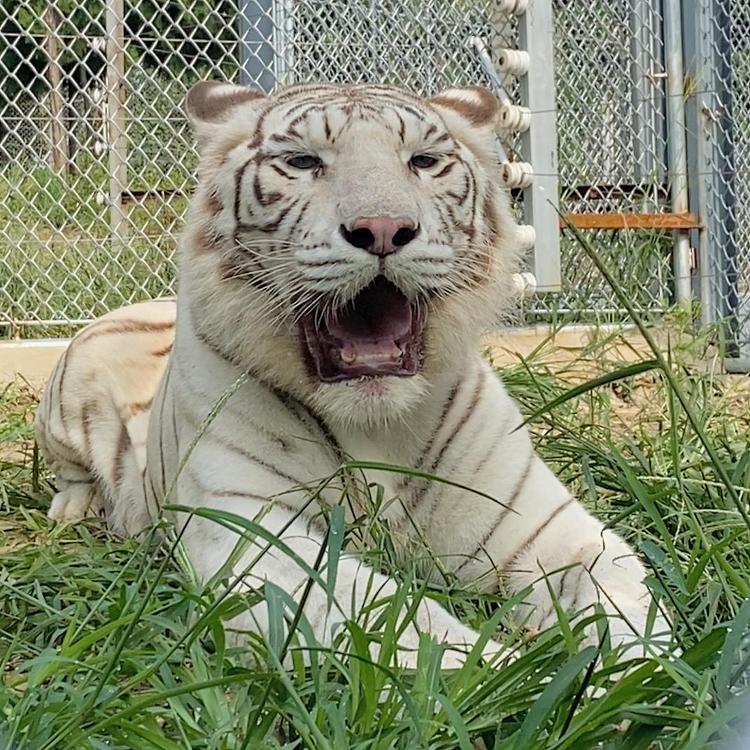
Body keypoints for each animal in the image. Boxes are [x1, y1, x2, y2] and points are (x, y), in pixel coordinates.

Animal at [35, 82, 668, 668]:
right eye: (302, 162)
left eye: (423, 161)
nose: (383, 228)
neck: (376, 424)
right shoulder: (256, 541)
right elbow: (409, 628)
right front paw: (517, 681)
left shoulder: (543, 525)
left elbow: (627, 604)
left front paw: (634, 678)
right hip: (64, 398)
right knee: (74, 473)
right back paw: (79, 511)